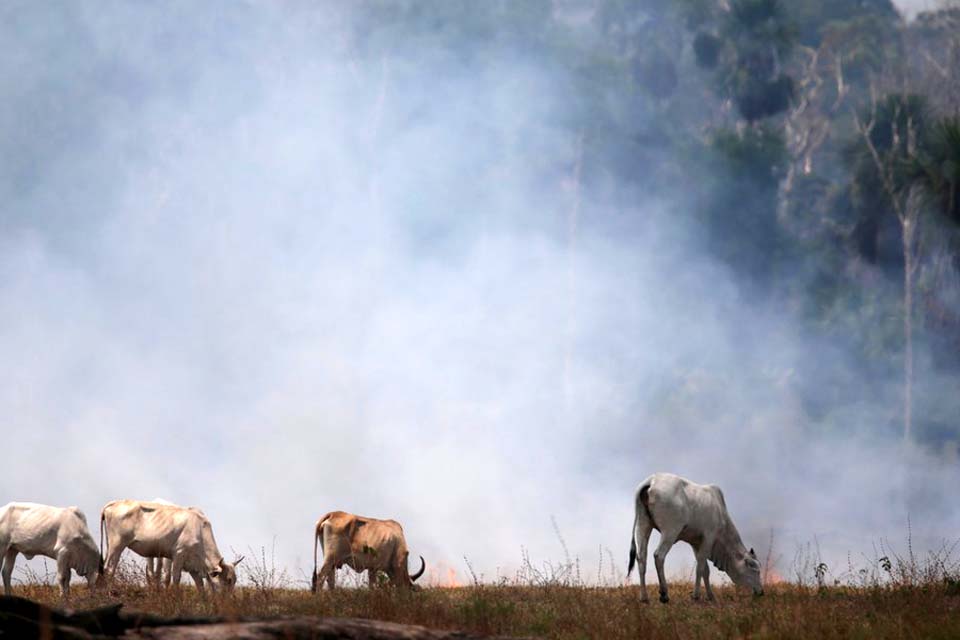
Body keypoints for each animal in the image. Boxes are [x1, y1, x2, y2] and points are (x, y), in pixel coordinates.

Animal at [101, 500, 242, 596]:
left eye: (234, 580)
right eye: (228, 580)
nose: (228, 601)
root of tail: (114, 503)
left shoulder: (193, 566)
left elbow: (200, 587)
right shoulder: (179, 554)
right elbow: (176, 578)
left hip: (110, 545)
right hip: (117, 544)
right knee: (109, 568)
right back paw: (108, 593)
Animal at [624, 472, 764, 604]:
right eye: (755, 570)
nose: (761, 592)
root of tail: (652, 480)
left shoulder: (695, 543)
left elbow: (706, 570)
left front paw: (711, 596)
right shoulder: (709, 537)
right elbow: (700, 567)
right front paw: (696, 596)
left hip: (643, 525)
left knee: (641, 558)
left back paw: (644, 598)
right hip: (670, 530)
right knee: (659, 555)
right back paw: (664, 594)